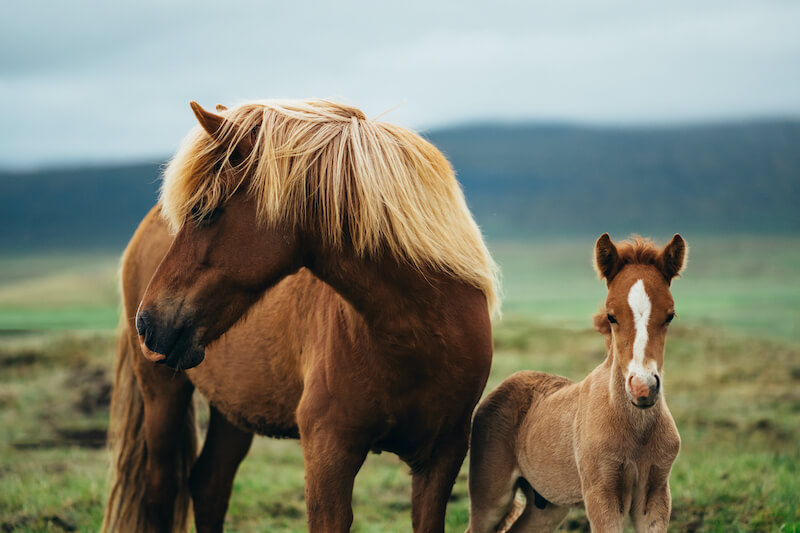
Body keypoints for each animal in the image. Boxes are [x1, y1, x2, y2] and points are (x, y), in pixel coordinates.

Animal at [102, 100, 496, 532]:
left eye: (205, 211)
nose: (147, 323)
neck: (418, 340)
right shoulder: (328, 453)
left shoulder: (442, 458)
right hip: (162, 393)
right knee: (161, 491)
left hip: (233, 409)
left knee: (209, 484)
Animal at [468, 235, 688, 528]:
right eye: (611, 316)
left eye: (670, 315)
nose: (643, 388)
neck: (635, 429)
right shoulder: (601, 495)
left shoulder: (655, 495)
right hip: (490, 497)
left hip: (547, 506)